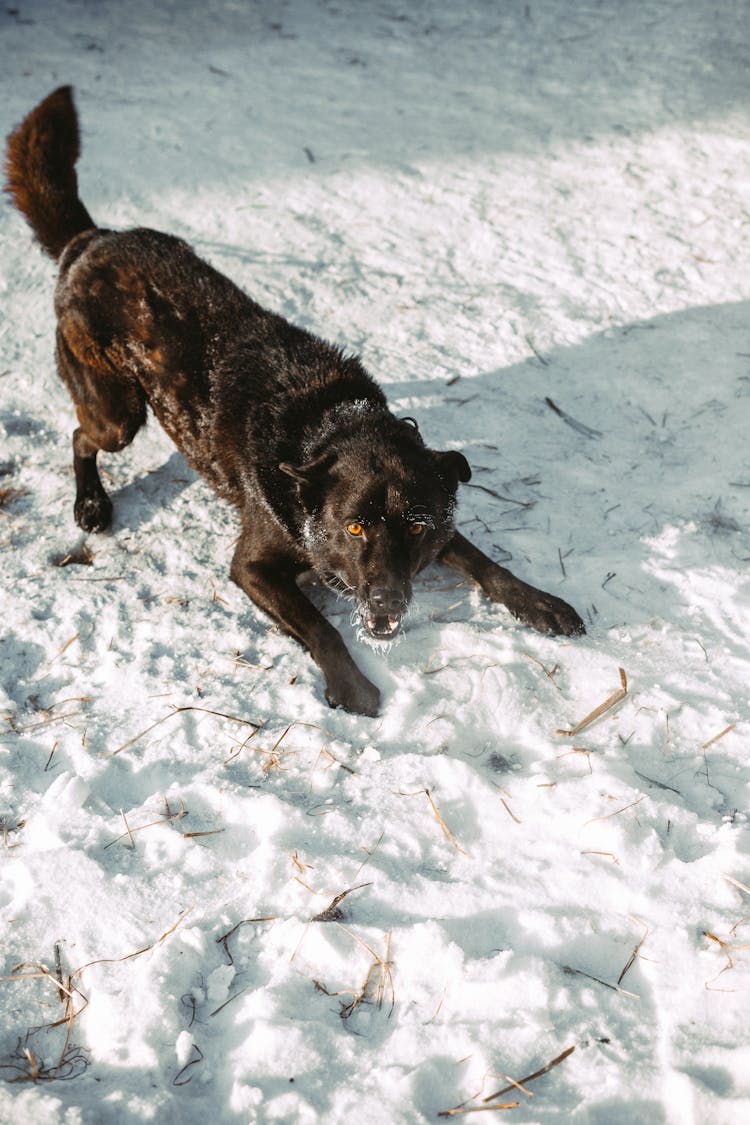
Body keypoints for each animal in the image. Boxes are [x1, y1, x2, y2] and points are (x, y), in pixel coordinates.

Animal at [2, 92, 584, 715]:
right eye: (354, 528)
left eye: (415, 525)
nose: (388, 601)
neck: (326, 422)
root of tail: (90, 239)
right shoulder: (252, 566)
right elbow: (320, 626)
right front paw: (352, 685)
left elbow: (482, 560)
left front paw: (540, 602)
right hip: (119, 414)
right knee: (80, 435)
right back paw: (90, 503)